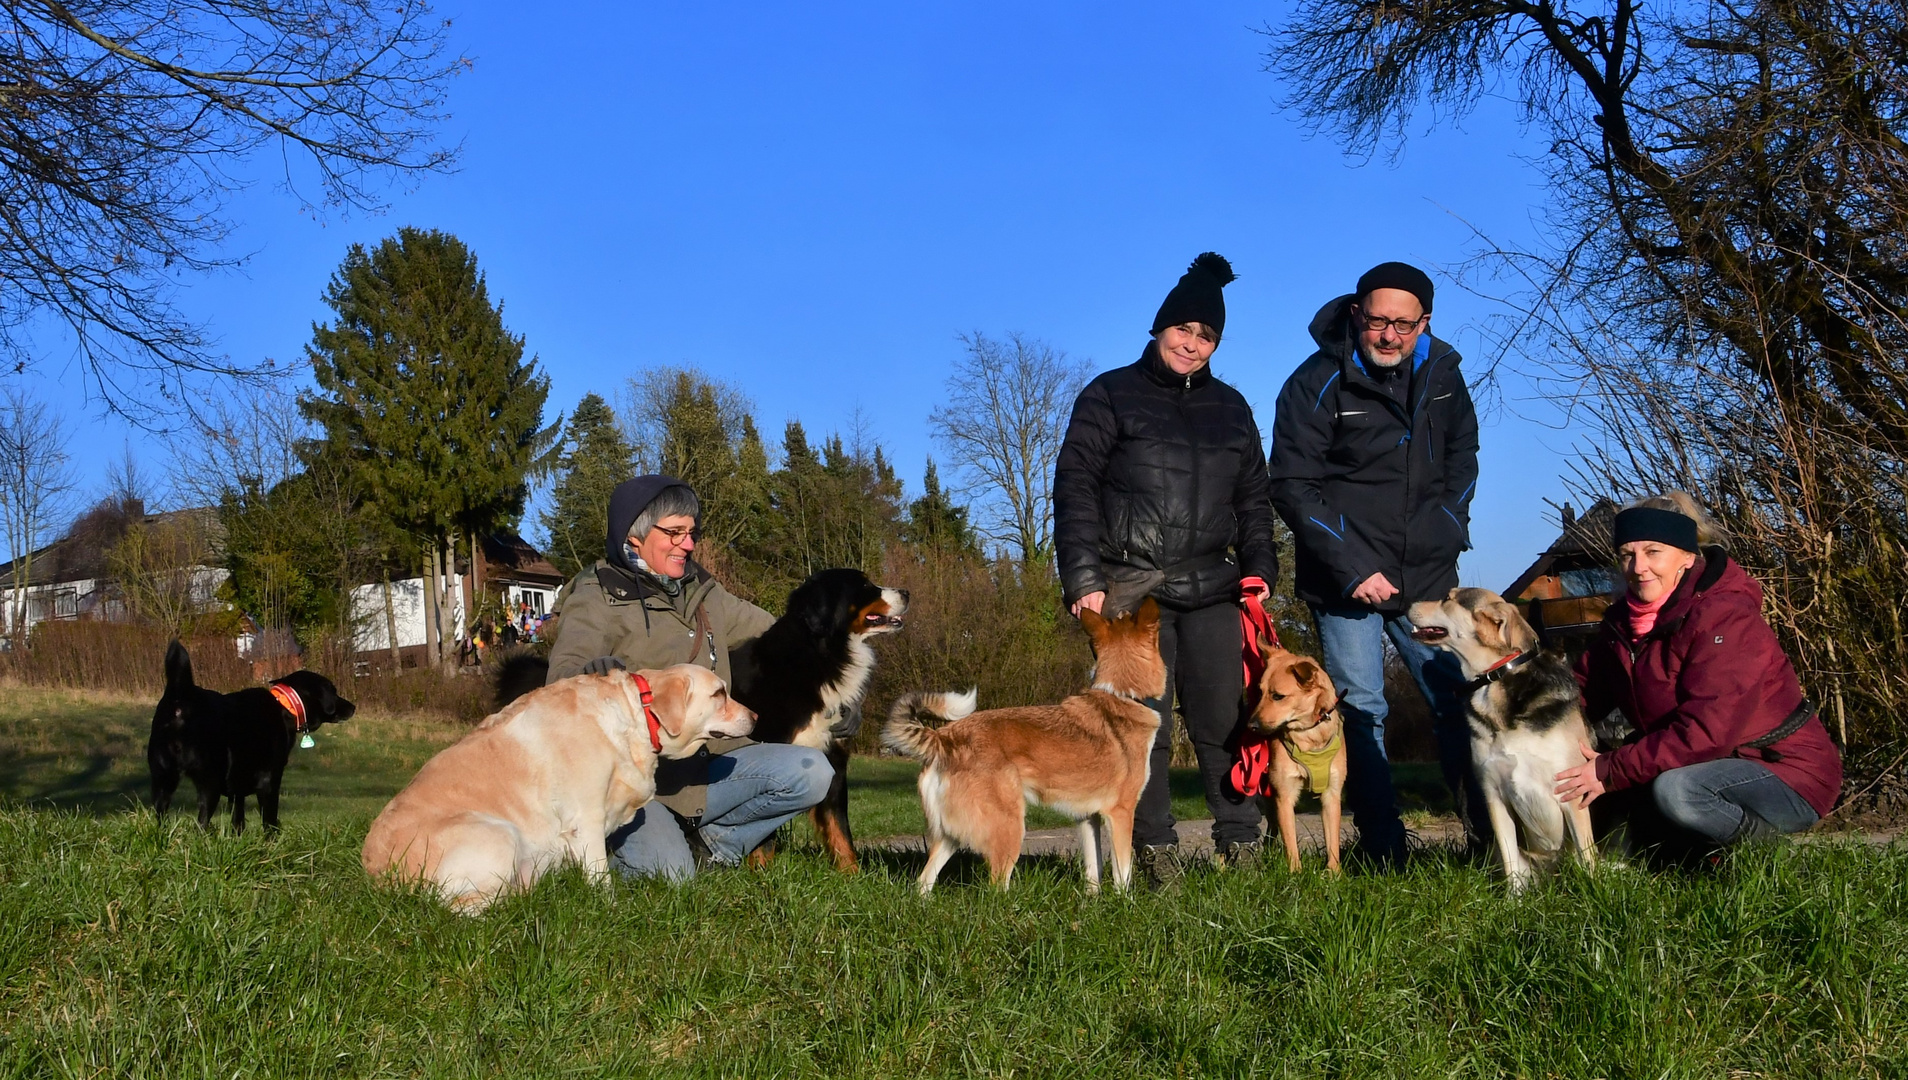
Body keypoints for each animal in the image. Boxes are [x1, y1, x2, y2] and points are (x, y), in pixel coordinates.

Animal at [147, 644, 354, 839]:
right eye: (334, 691)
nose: (353, 706)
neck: (285, 706)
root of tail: (180, 698)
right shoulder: (269, 781)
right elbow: (269, 819)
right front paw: (272, 842)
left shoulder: (237, 789)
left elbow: (238, 820)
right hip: (209, 783)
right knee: (202, 822)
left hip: (162, 780)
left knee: (161, 814)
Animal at [358, 667, 751, 915]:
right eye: (719, 693)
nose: (757, 717)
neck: (634, 717)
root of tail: (377, 877)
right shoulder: (586, 820)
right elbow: (601, 879)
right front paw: (613, 911)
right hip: (499, 834)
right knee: (460, 907)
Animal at [881, 602, 1175, 896]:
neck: (1123, 695)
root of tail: (944, 738)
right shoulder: (1120, 813)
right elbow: (1122, 874)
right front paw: (1125, 902)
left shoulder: (1086, 818)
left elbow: (1094, 870)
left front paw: (1093, 901)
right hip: (1009, 828)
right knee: (996, 888)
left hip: (950, 835)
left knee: (924, 881)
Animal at [1244, 648, 1350, 877]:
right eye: (1260, 693)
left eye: (1278, 696)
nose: (1251, 726)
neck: (1309, 735)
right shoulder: (1284, 795)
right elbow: (1291, 843)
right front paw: (1295, 874)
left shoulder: (1332, 794)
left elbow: (1333, 841)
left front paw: (1333, 873)